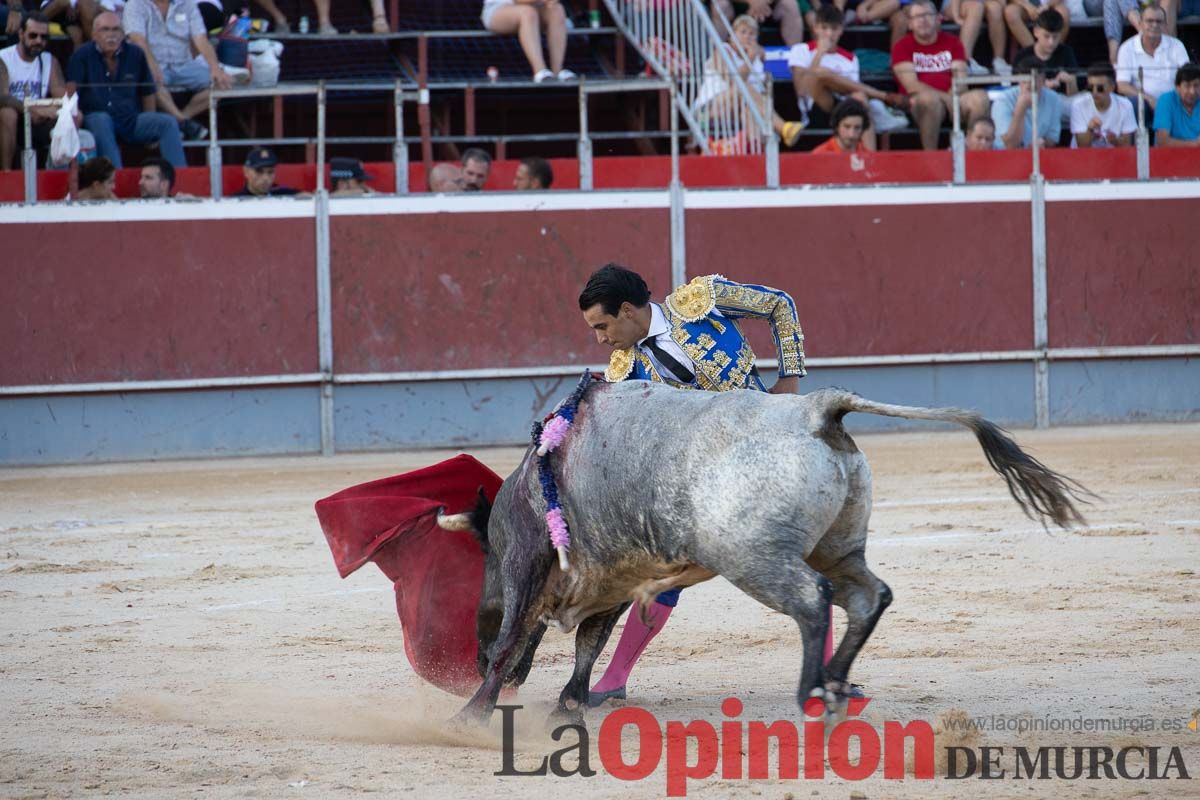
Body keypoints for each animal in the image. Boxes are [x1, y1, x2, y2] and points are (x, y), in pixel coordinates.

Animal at [441, 379, 1089, 724]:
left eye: (486, 563)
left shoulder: (531, 564)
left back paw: (814, 693)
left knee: (812, 600)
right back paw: (835, 685)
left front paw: (473, 711)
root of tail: (817, 408)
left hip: (752, 558)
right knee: (866, 595)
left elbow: (518, 640)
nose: (470, 654)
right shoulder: (613, 580)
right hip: (838, 547)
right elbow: (587, 645)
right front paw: (569, 704)